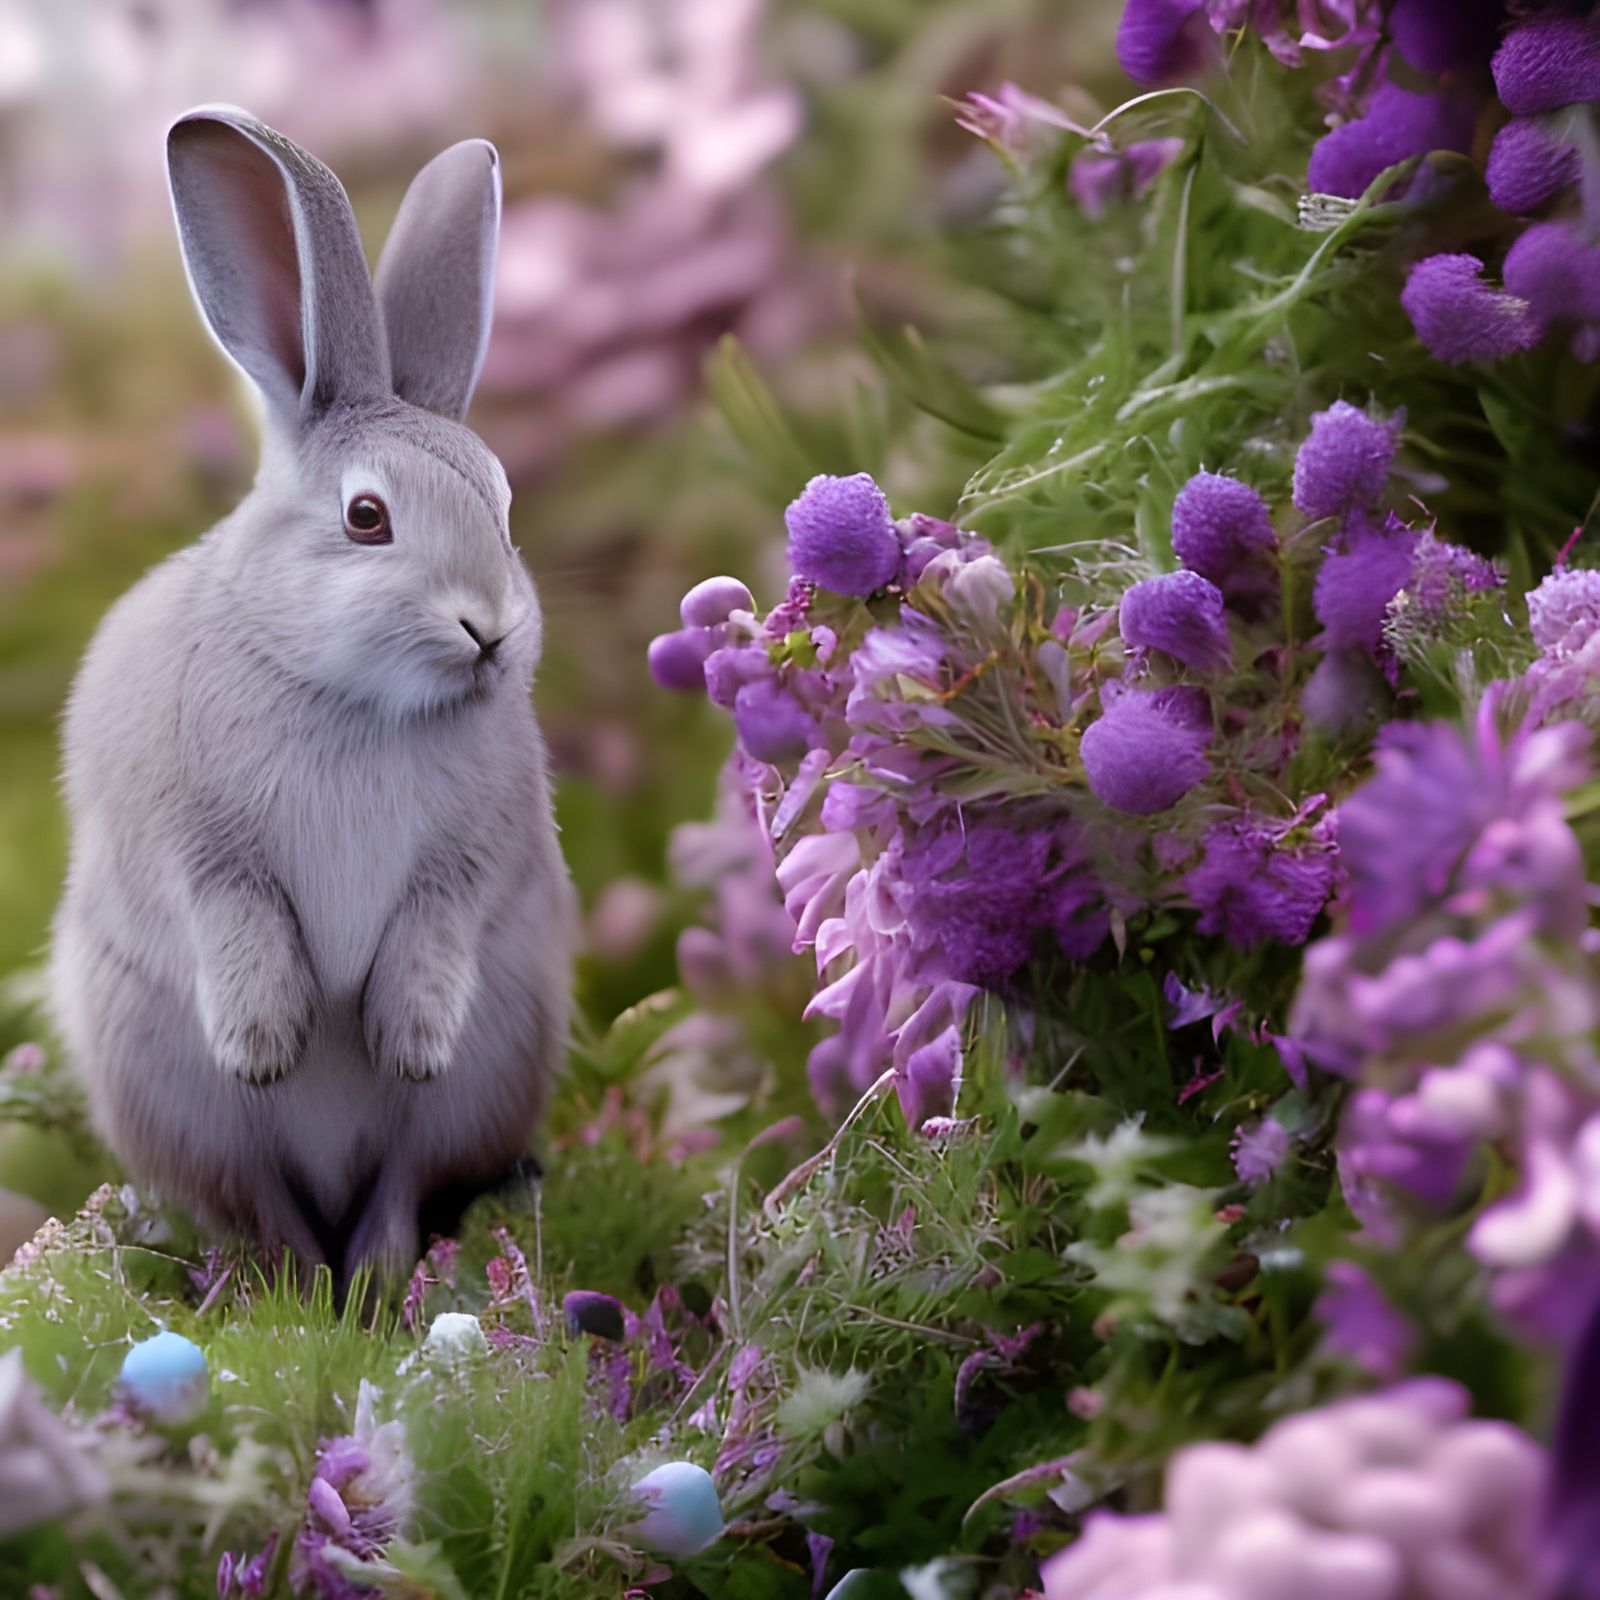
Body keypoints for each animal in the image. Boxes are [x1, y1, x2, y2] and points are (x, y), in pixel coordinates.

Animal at [48, 105, 575, 1285]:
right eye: (367, 517)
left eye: (503, 502)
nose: (491, 628)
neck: (355, 697)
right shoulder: (186, 841)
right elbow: (230, 912)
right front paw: (266, 1042)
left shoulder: (477, 853)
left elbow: (438, 914)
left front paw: (406, 1039)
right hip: (169, 1094)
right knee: (259, 1204)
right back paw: (296, 1287)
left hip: (492, 1065)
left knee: (402, 1184)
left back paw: (375, 1283)